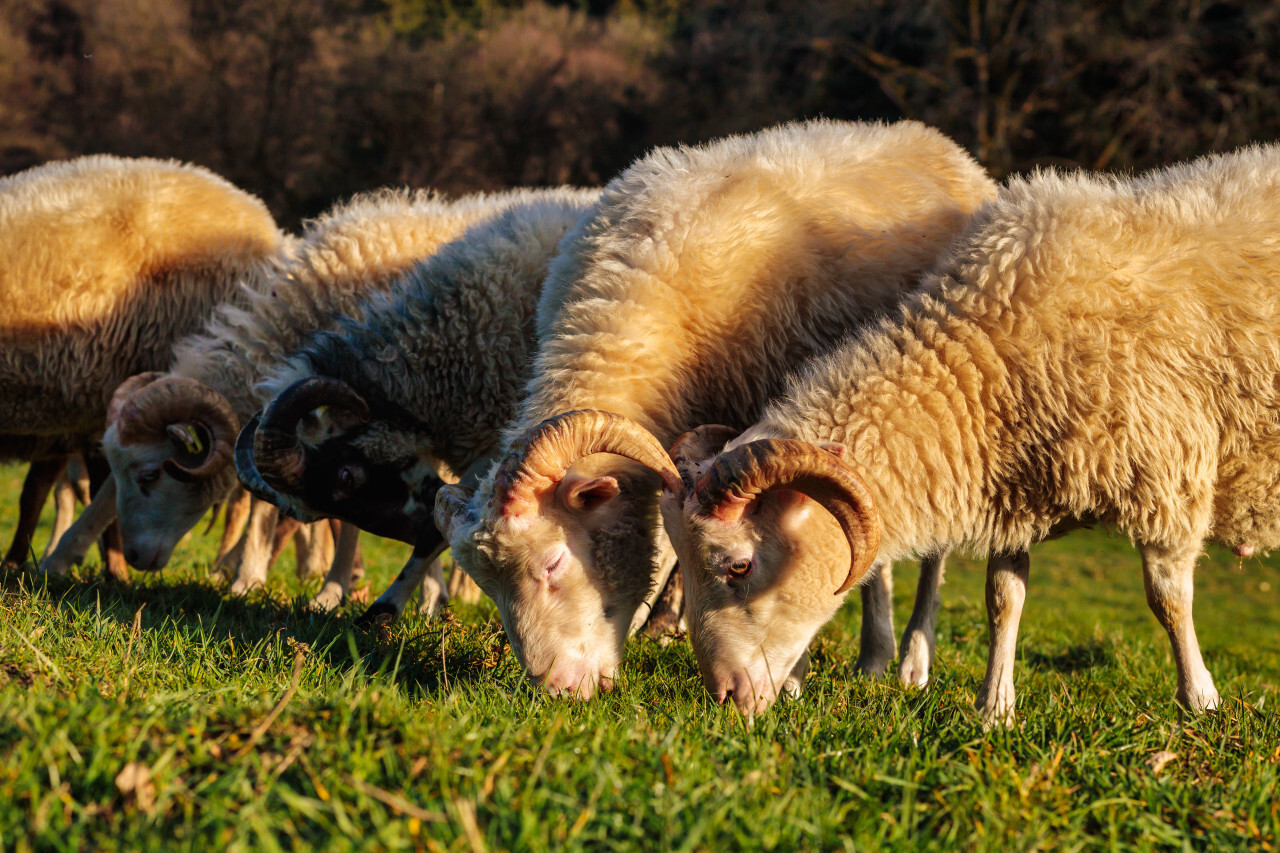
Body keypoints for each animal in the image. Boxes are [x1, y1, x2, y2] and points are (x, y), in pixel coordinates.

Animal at [432, 122, 998, 701]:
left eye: (553, 563)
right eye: (487, 586)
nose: (557, 691)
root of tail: (935, 140)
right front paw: (662, 624)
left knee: (925, 550)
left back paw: (905, 660)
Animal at [660, 142, 1280, 722]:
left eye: (738, 566)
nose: (724, 695)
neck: (985, 356)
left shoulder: (1167, 480)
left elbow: (1168, 598)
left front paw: (1199, 698)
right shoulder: (1018, 488)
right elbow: (1003, 598)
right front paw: (995, 707)